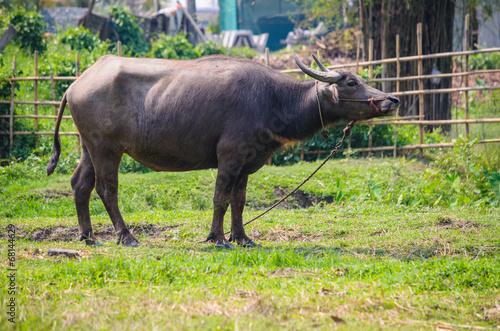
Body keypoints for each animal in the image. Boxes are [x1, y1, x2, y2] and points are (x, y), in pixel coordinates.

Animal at [47, 52, 398, 248]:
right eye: (351, 82)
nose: (391, 100)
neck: (272, 98)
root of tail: (76, 84)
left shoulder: (248, 160)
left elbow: (239, 201)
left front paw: (242, 237)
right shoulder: (229, 156)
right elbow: (220, 197)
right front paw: (217, 239)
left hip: (88, 146)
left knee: (80, 184)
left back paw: (88, 236)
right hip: (107, 148)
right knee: (107, 189)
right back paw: (127, 237)